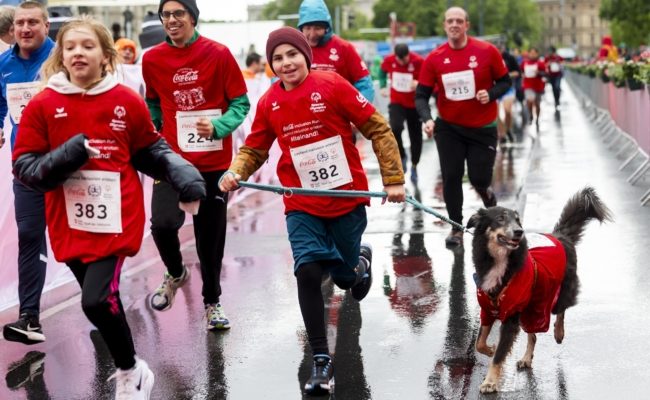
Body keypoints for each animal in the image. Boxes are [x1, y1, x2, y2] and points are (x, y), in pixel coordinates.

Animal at [466, 188, 608, 394]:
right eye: (500, 218)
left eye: (518, 220)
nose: (519, 231)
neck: (501, 263)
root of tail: (560, 236)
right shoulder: (487, 309)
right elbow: (479, 343)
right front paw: (490, 349)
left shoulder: (511, 315)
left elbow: (499, 355)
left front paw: (490, 382)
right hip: (532, 306)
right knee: (532, 335)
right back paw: (526, 358)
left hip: (555, 296)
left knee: (561, 311)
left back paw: (558, 332)